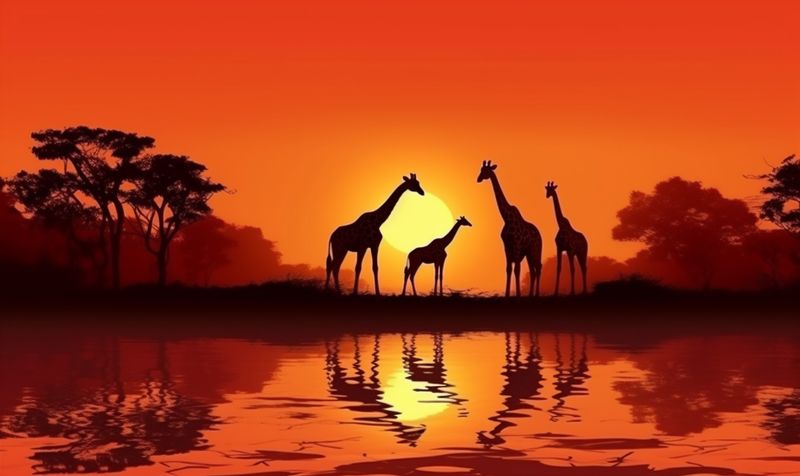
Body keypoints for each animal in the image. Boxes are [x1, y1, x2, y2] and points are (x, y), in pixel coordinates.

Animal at [477, 160, 542, 297]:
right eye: (480, 170)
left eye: (486, 171)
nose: (478, 179)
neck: (506, 218)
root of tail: (540, 234)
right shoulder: (506, 247)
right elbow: (508, 269)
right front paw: (507, 294)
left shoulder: (516, 246)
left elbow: (517, 269)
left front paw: (517, 294)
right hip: (528, 253)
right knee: (533, 271)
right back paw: (530, 295)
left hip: (535, 249)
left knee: (538, 267)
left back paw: (537, 294)